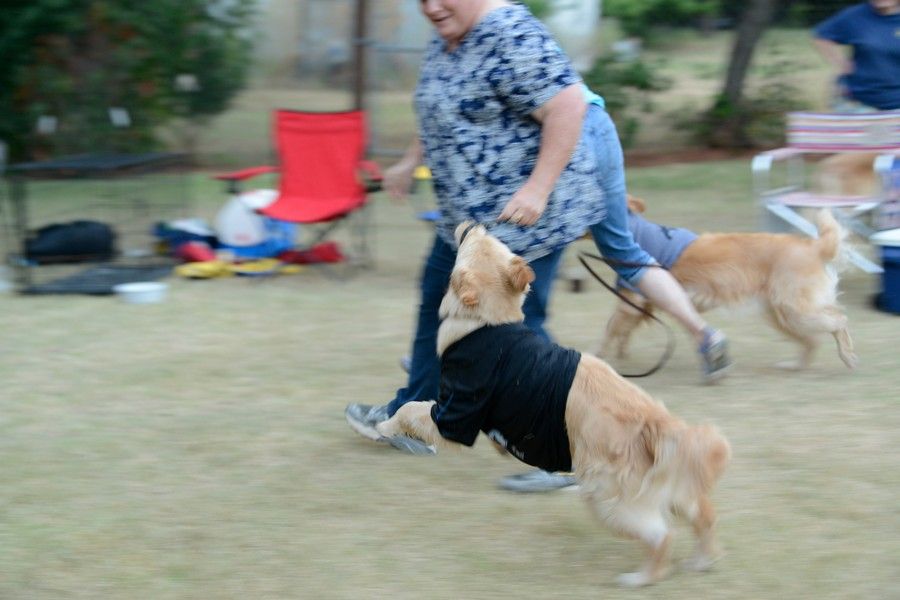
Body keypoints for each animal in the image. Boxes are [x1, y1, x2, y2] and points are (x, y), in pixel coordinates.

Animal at [376, 222, 731, 587]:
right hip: (672, 487)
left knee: (662, 536)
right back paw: (702, 560)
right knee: (704, 513)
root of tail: (658, 423)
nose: (476, 224)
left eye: (477, 242)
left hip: (606, 496)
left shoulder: (457, 409)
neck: (486, 323)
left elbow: (409, 409)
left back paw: (640, 578)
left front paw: (383, 426)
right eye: (493, 240)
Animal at [599, 196, 857, 371]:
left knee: (839, 320)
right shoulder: (641, 304)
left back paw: (847, 356)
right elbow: (623, 331)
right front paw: (621, 353)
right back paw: (794, 365)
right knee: (814, 338)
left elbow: (610, 330)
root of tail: (813, 246)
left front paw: (599, 357)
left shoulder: (631, 300)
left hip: (794, 310)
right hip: (780, 314)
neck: (632, 229)